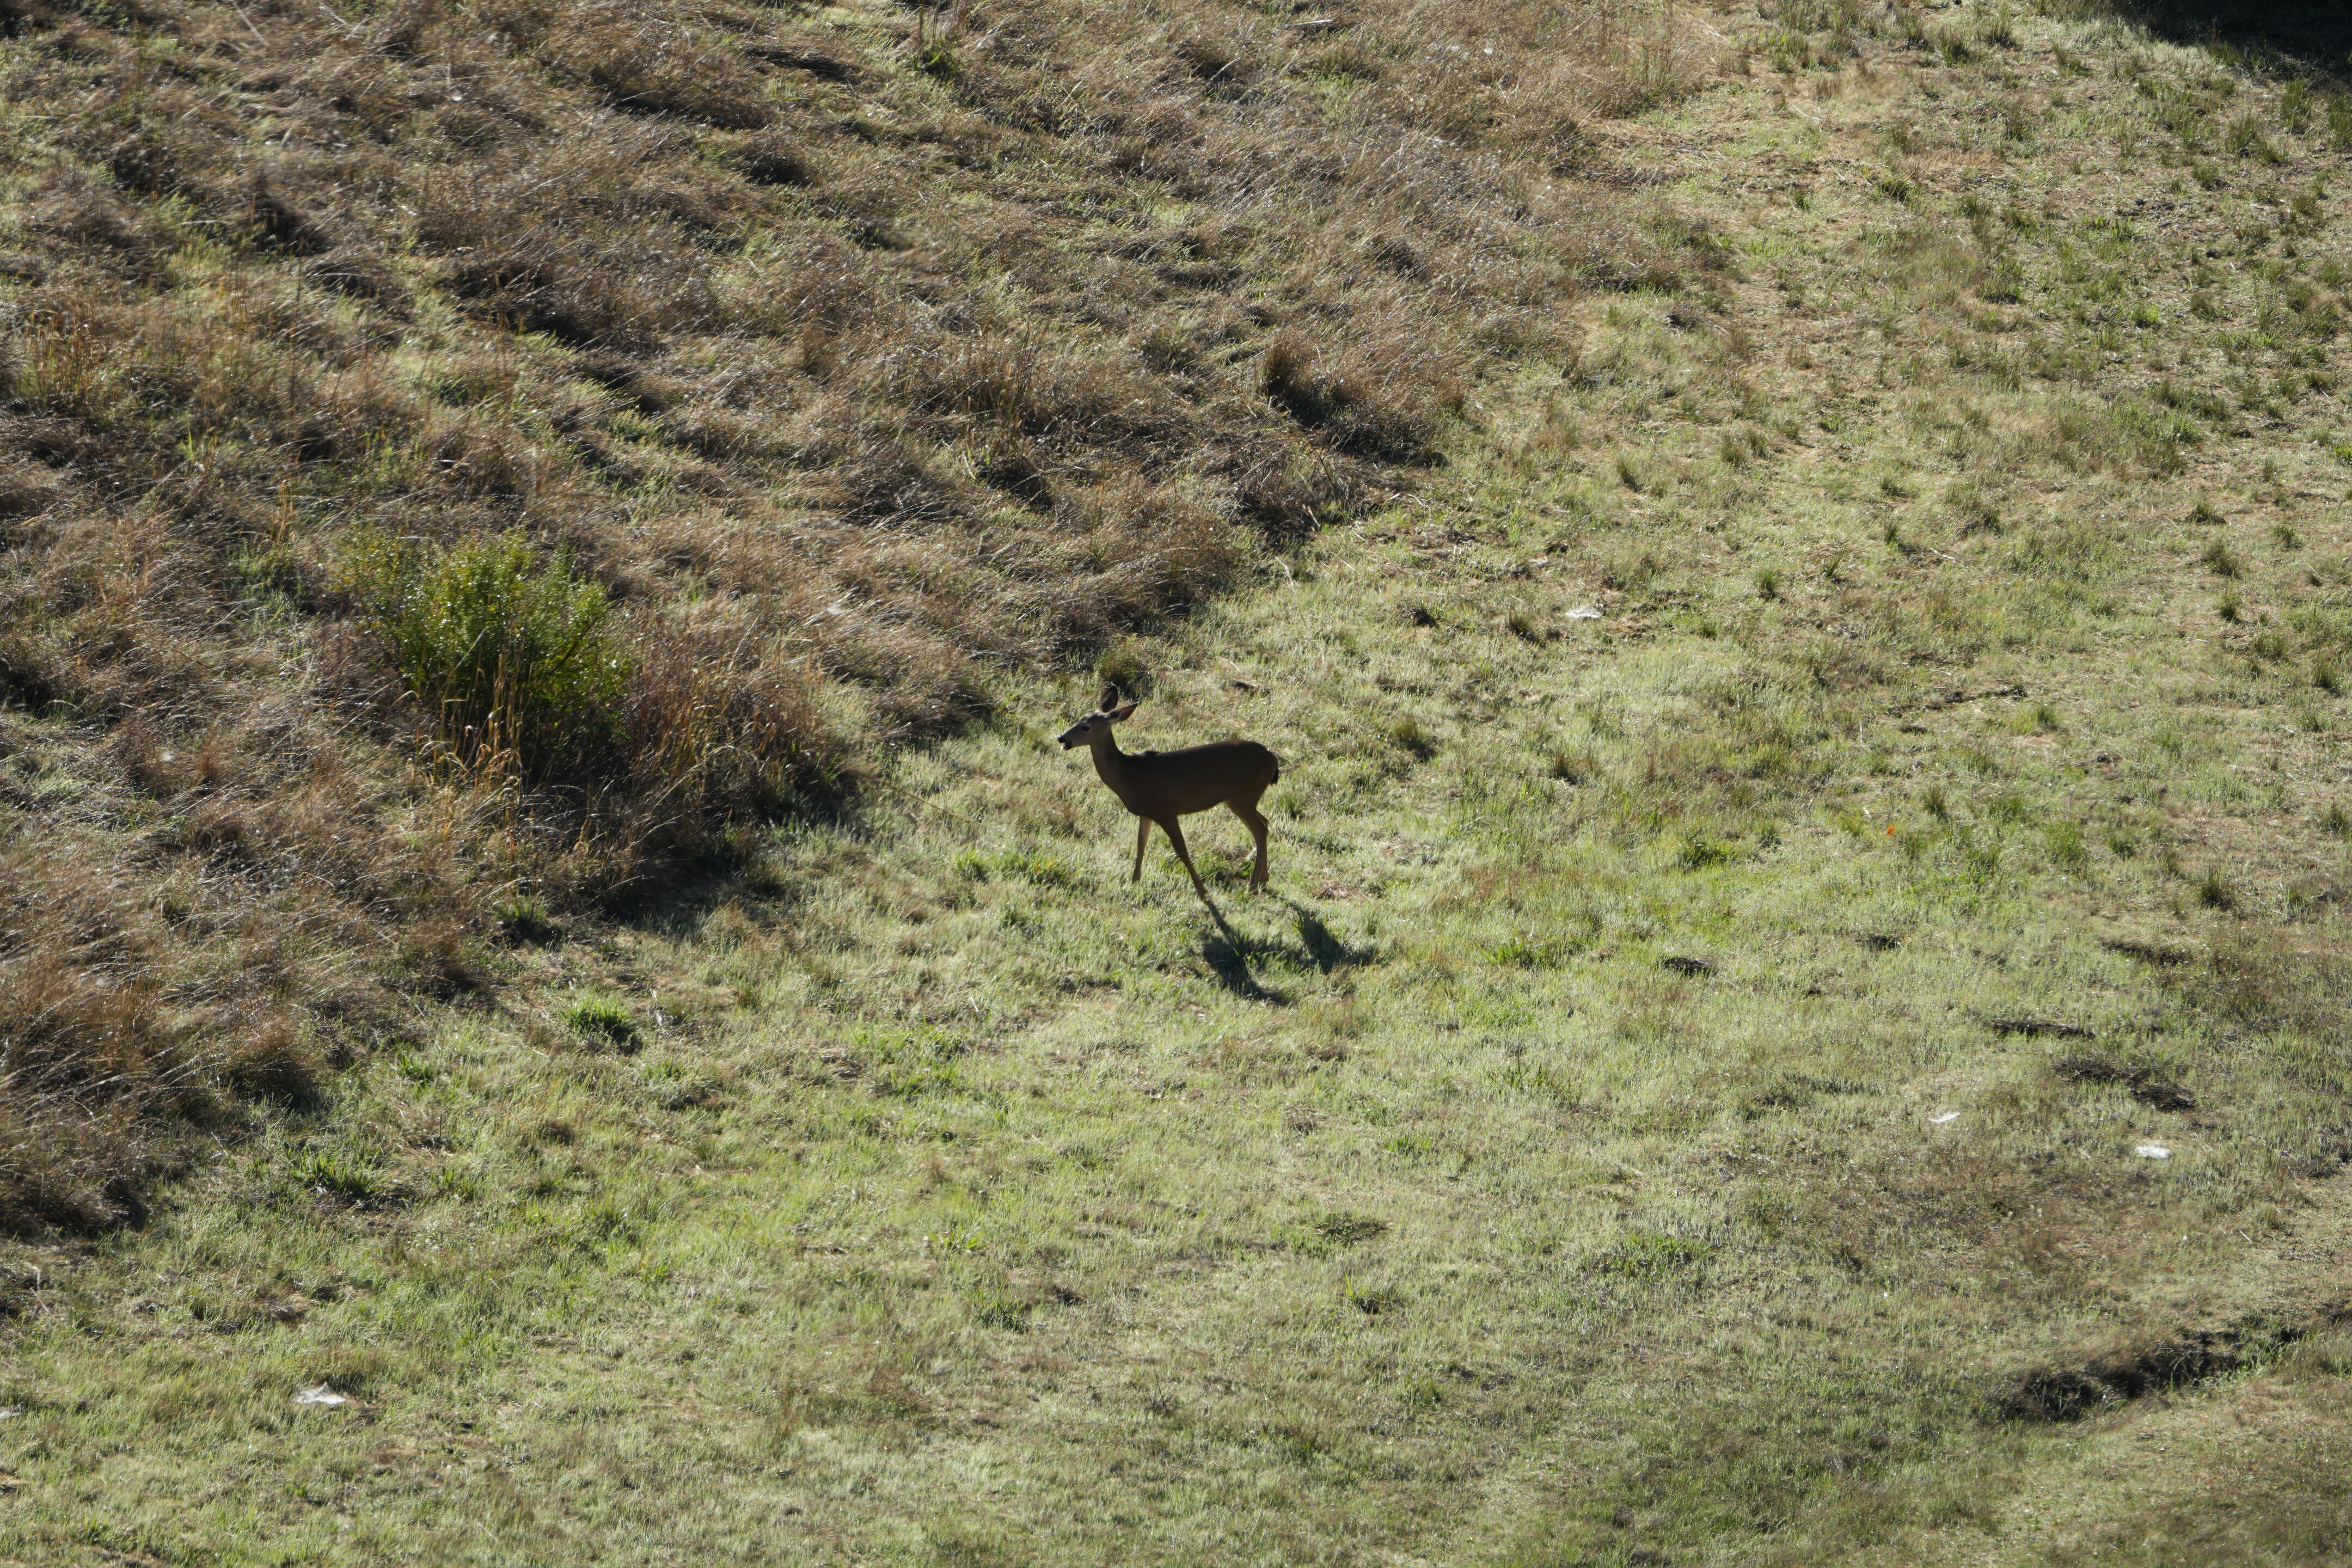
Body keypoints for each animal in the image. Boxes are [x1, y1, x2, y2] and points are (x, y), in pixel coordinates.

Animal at [1057, 686, 1280, 905]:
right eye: (1079, 720)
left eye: (1086, 727)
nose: (1062, 738)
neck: (1128, 775)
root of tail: (1273, 760)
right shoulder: (1146, 813)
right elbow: (1141, 844)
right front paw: (1135, 881)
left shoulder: (1166, 811)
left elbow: (1181, 850)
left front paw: (1202, 892)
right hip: (1245, 798)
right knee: (1265, 823)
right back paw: (1264, 879)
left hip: (1242, 795)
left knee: (1260, 829)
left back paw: (1252, 886)